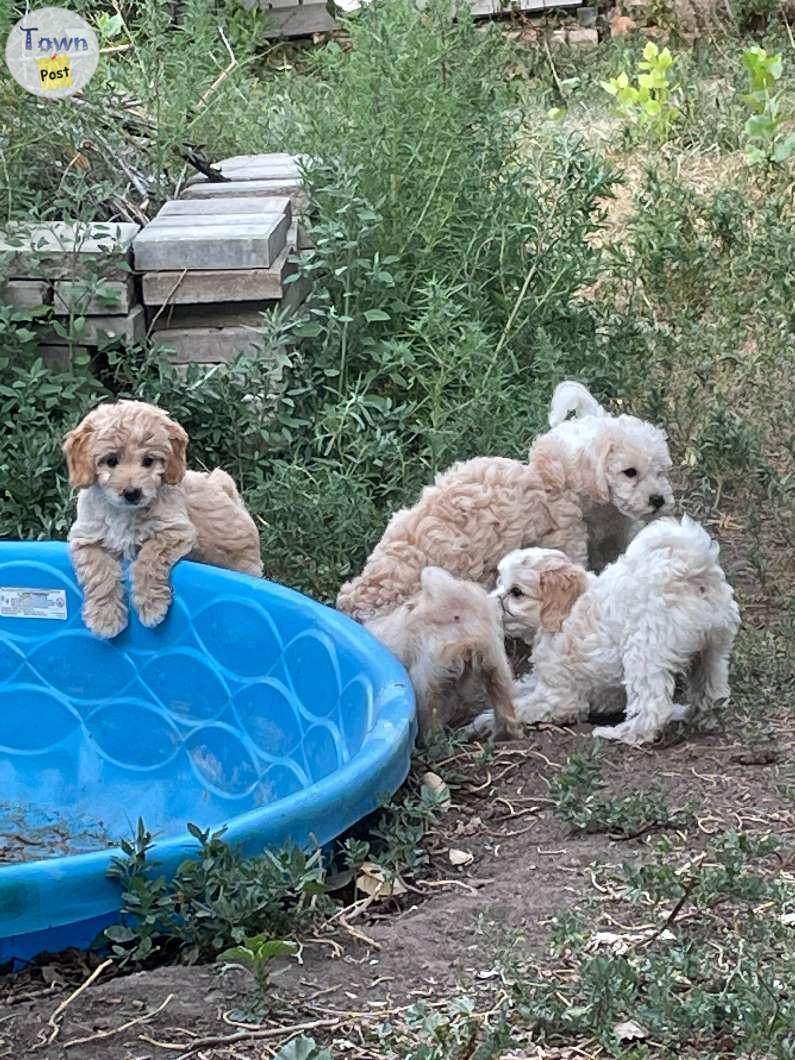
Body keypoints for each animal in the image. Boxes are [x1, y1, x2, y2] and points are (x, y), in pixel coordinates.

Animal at [64, 398, 265, 635]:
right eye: (111, 460)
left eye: (148, 460)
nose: (132, 492)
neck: (124, 512)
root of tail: (225, 489)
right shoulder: (86, 538)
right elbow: (98, 572)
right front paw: (105, 618)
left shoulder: (173, 530)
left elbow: (148, 560)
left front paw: (151, 607)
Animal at [489, 515, 746, 746]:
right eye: (500, 583)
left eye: (516, 592)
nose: (487, 603)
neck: (566, 611)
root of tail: (690, 570)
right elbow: (521, 689)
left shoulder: (559, 694)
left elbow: (523, 706)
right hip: (714, 645)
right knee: (711, 686)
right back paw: (698, 715)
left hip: (644, 652)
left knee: (652, 708)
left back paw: (621, 733)